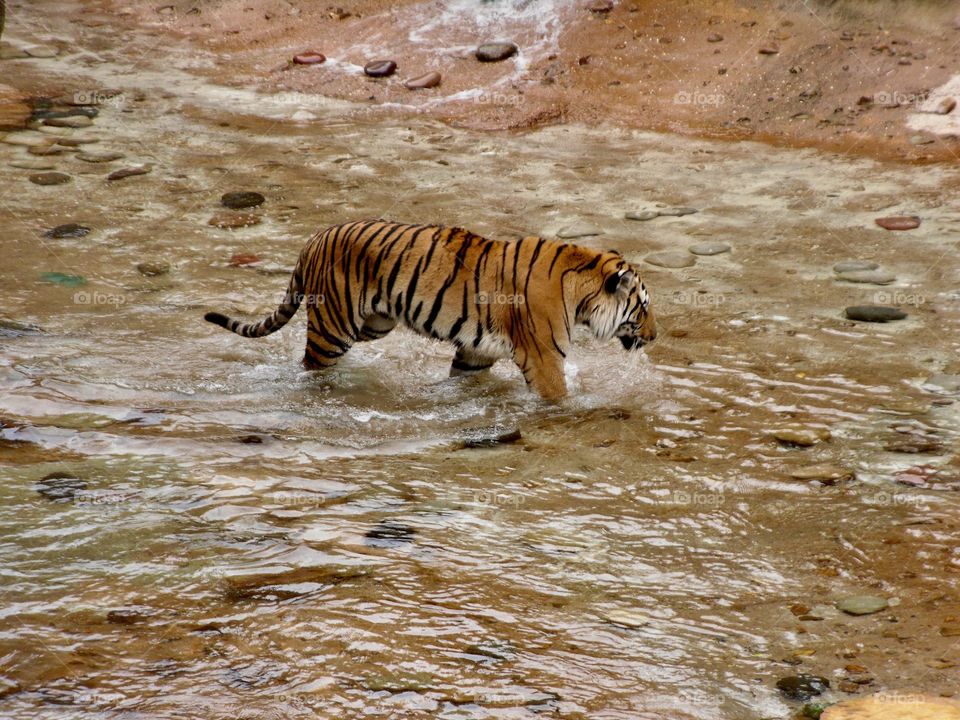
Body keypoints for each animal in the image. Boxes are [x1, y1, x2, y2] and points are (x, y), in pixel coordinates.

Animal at [204, 220, 656, 401]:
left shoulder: (477, 351)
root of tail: (313, 239)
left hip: (375, 323)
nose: (655, 337)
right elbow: (559, 398)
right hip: (333, 327)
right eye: (643, 308)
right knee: (310, 365)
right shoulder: (545, 358)